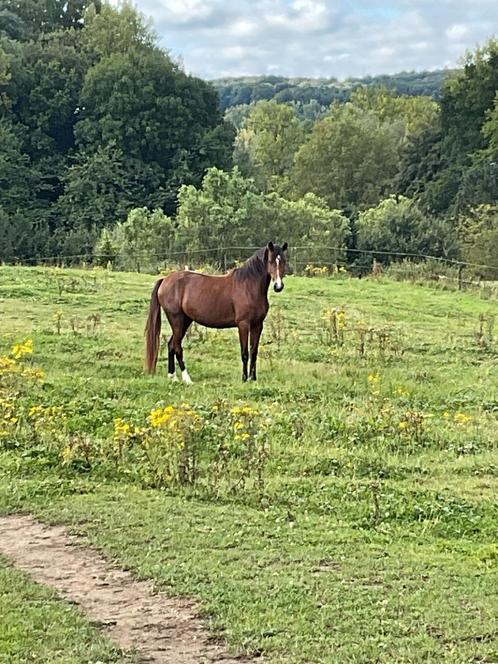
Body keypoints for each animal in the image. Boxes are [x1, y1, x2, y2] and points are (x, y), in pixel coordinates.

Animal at [145, 241, 288, 382]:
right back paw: (187, 379)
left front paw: (253, 379)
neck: (249, 287)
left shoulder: (258, 325)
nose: (278, 286)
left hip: (185, 321)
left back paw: (173, 377)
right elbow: (245, 353)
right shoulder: (243, 324)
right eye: (270, 261)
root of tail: (165, 280)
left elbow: (254, 351)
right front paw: (244, 379)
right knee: (177, 347)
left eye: (283, 261)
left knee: (171, 345)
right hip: (177, 320)